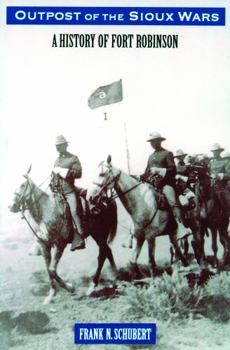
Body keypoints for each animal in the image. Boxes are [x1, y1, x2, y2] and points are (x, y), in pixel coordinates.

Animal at [8, 171, 117, 302]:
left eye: (23, 185)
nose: (11, 206)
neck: (46, 211)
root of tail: (107, 200)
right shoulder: (44, 245)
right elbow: (48, 269)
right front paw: (51, 294)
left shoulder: (61, 244)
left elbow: (52, 269)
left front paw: (70, 287)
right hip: (97, 235)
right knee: (107, 251)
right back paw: (112, 281)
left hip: (100, 234)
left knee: (102, 255)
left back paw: (95, 286)